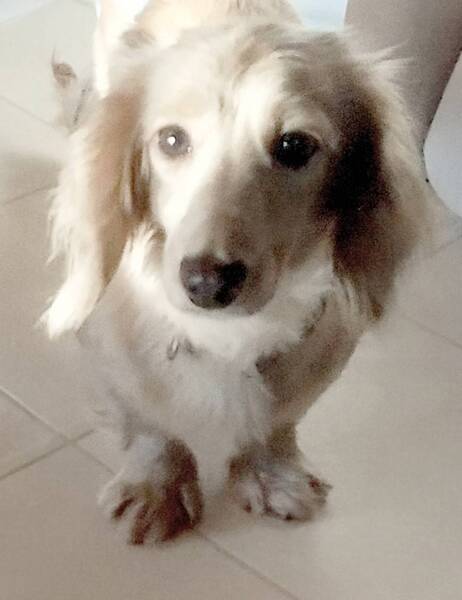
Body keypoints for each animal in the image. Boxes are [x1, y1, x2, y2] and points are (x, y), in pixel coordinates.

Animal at [45, 0, 429, 544]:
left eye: (294, 146)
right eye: (171, 140)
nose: (207, 282)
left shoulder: (322, 340)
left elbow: (281, 415)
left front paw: (270, 472)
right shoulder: (113, 348)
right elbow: (149, 417)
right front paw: (156, 486)